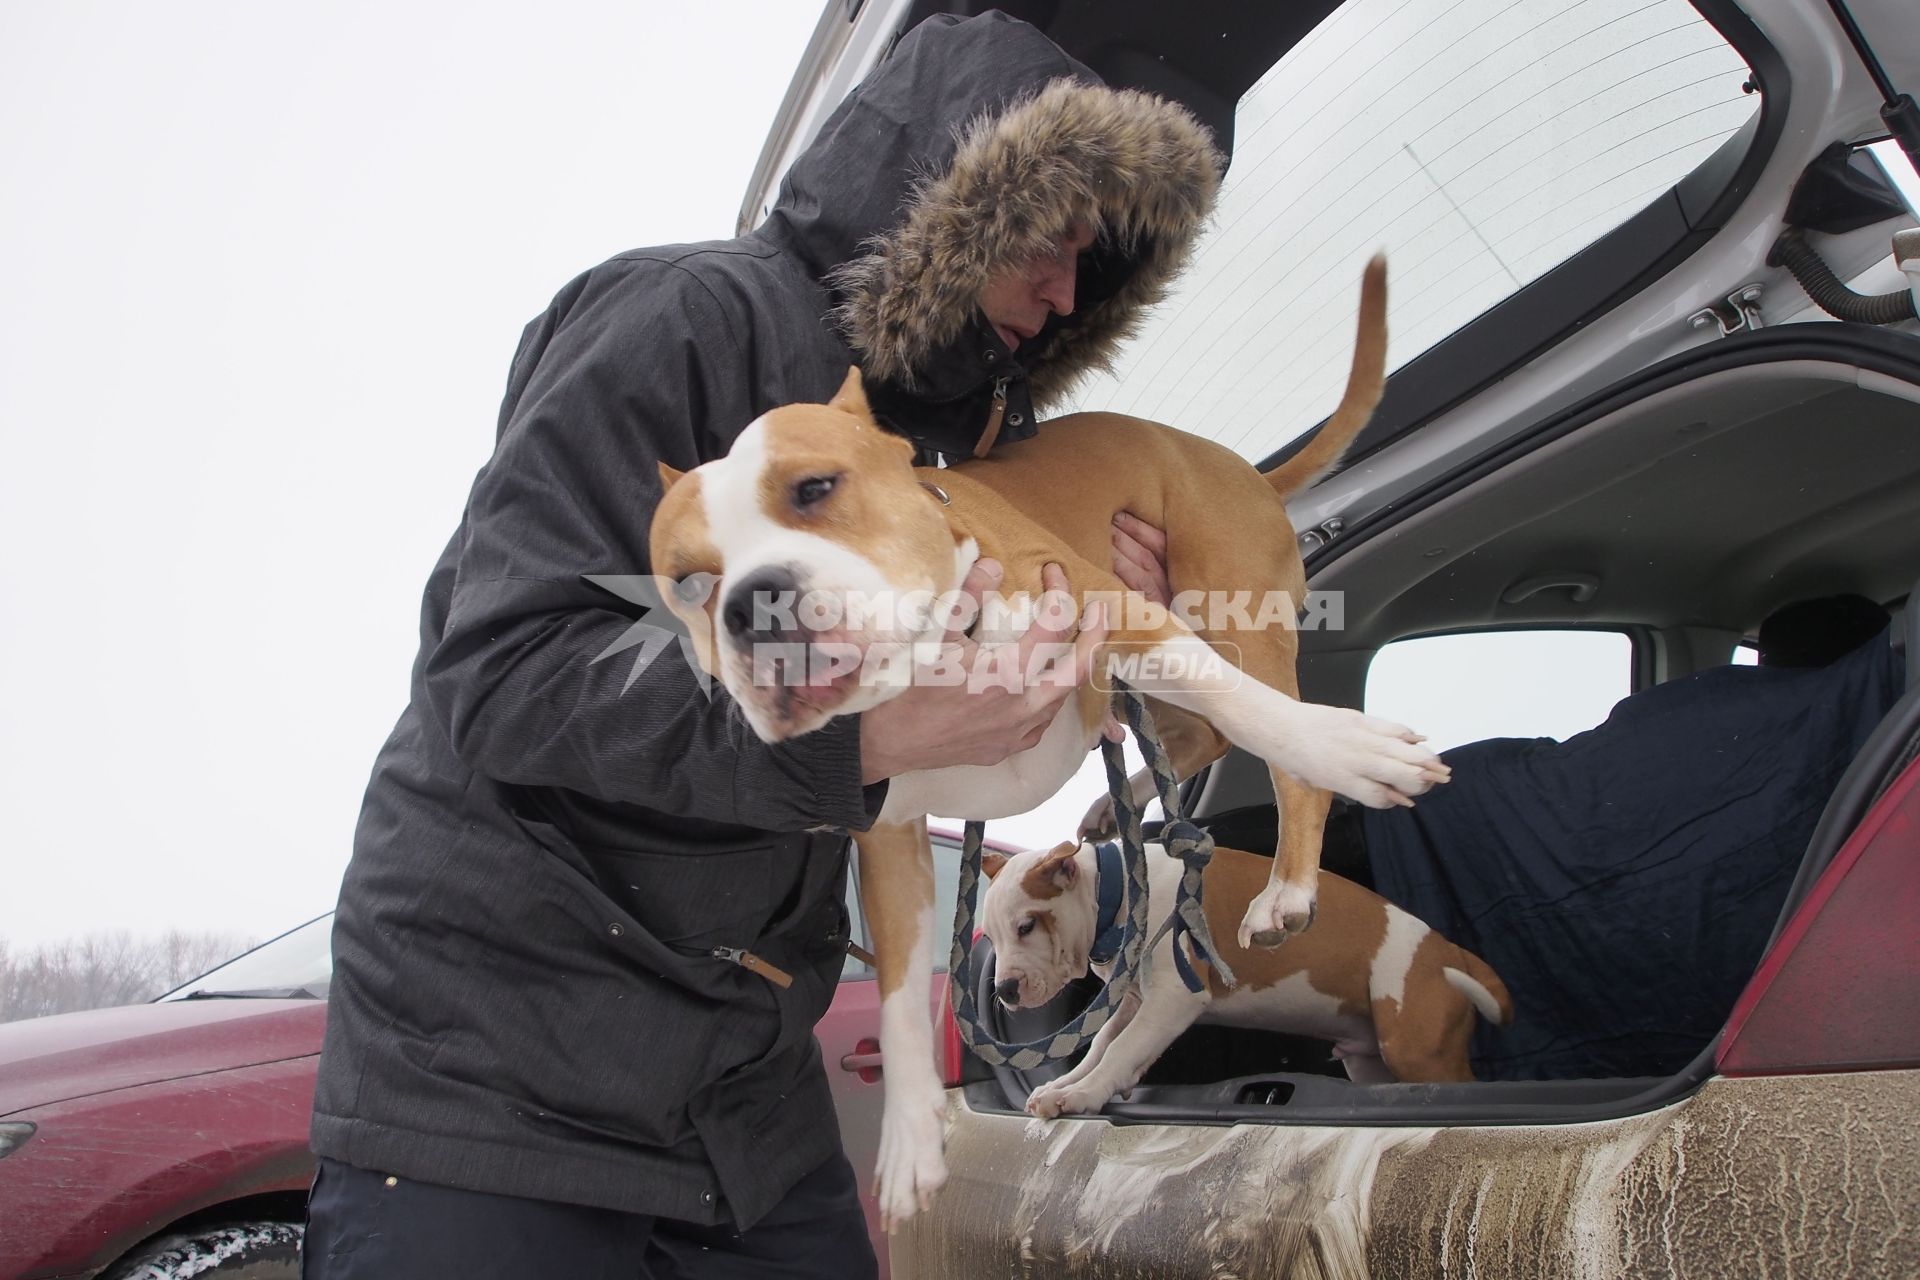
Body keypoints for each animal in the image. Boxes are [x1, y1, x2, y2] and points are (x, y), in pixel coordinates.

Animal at [645, 257, 1443, 1220]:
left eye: (815, 488)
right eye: (687, 583)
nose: (749, 605)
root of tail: (1236, 465)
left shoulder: (1117, 608)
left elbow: (1266, 722)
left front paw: (1352, 751)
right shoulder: (892, 842)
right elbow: (903, 998)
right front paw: (910, 1139)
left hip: (1219, 604)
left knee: (1251, 719)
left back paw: (1287, 881)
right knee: (1198, 730)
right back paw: (1121, 800)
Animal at [990, 840, 1512, 1113]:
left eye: (1027, 926)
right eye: (991, 938)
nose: (1004, 990)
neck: (1120, 896)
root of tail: (1449, 952)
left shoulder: (1172, 999)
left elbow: (1120, 1049)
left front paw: (1081, 1095)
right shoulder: (1136, 1001)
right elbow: (1103, 1044)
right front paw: (1066, 1083)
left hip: (1418, 1049)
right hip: (1371, 1061)